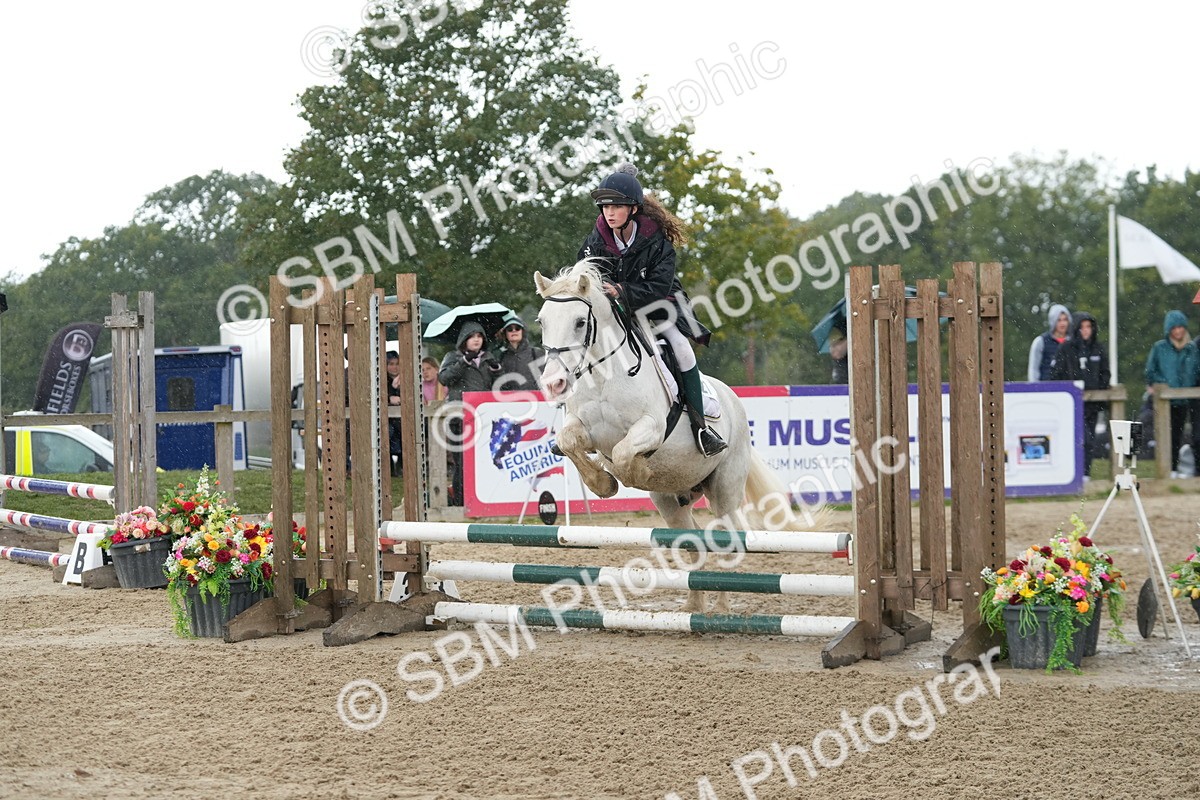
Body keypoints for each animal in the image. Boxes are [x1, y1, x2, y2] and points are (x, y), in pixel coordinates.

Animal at [533, 259, 826, 613]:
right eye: (542, 321)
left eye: (579, 322)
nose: (554, 384)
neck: (605, 375)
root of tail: (733, 400)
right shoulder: (586, 432)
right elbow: (569, 443)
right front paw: (604, 483)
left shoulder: (652, 428)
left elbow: (623, 454)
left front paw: (636, 472)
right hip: (670, 501)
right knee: (693, 541)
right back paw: (693, 607)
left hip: (724, 488)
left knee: (726, 540)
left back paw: (722, 609)